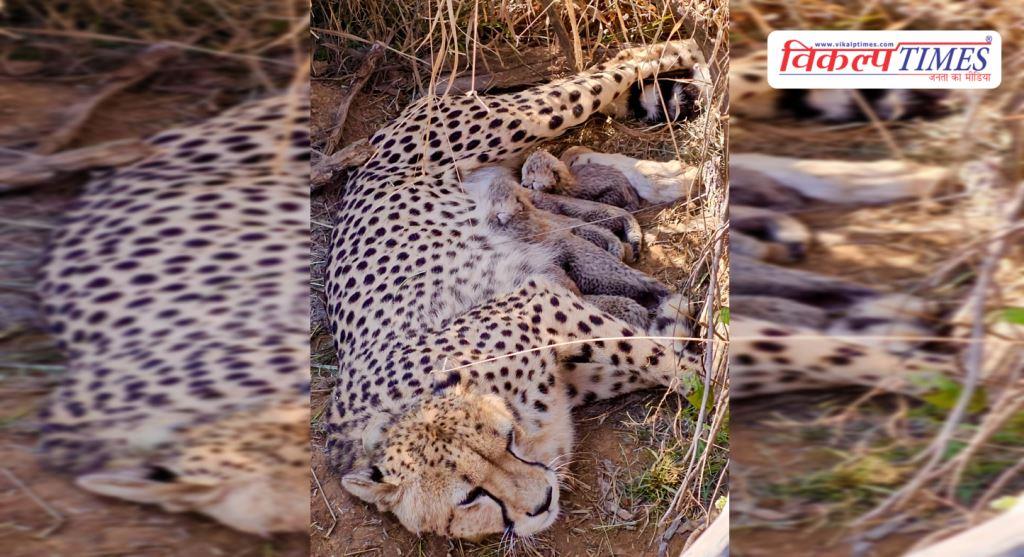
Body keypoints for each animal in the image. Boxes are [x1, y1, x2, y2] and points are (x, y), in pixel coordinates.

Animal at [323, 41, 710, 541]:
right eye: (469, 498)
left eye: (505, 439)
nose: (542, 501)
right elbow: (654, 350)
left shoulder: (541, 304)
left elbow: (661, 358)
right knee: (581, 148)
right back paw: (669, 178)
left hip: (522, 118)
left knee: (632, 61)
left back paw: (695, 66)